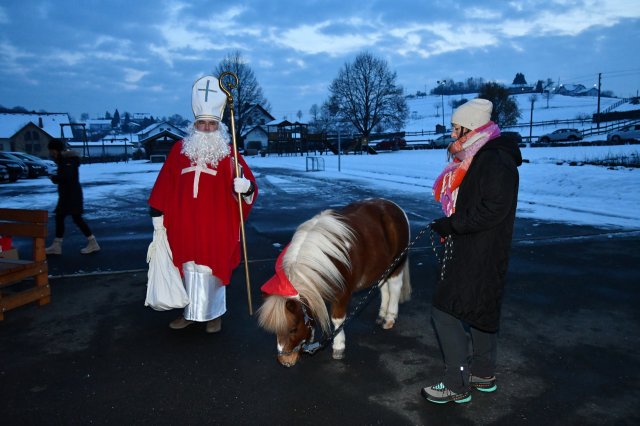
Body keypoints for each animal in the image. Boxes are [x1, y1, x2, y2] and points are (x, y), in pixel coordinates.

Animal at [256, 197, 410, 366]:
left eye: (293, 329)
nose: (285, 361)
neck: (326, 258)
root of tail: (395, 207)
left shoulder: (342, 293)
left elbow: (337, 319)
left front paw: (338, 347)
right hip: (382, 268)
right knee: (384, 287)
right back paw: (382, 315)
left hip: (397, 265)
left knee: (395, 287)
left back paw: (389, 318)